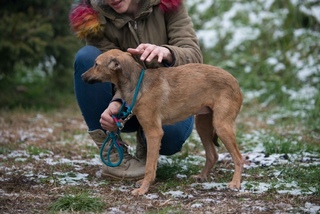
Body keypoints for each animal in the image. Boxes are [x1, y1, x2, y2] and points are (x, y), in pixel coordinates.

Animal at [81, 48, 244, 196]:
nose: (82, 76)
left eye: (96, 64)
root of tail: (236, 82)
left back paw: (235, 183)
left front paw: (143, 189)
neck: (139, 84)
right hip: (203, 125)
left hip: (221, 126)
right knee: (212, 155)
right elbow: (150, 163)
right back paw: (201, 176)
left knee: (239, 158)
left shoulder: (154, 133)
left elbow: (149, 166)